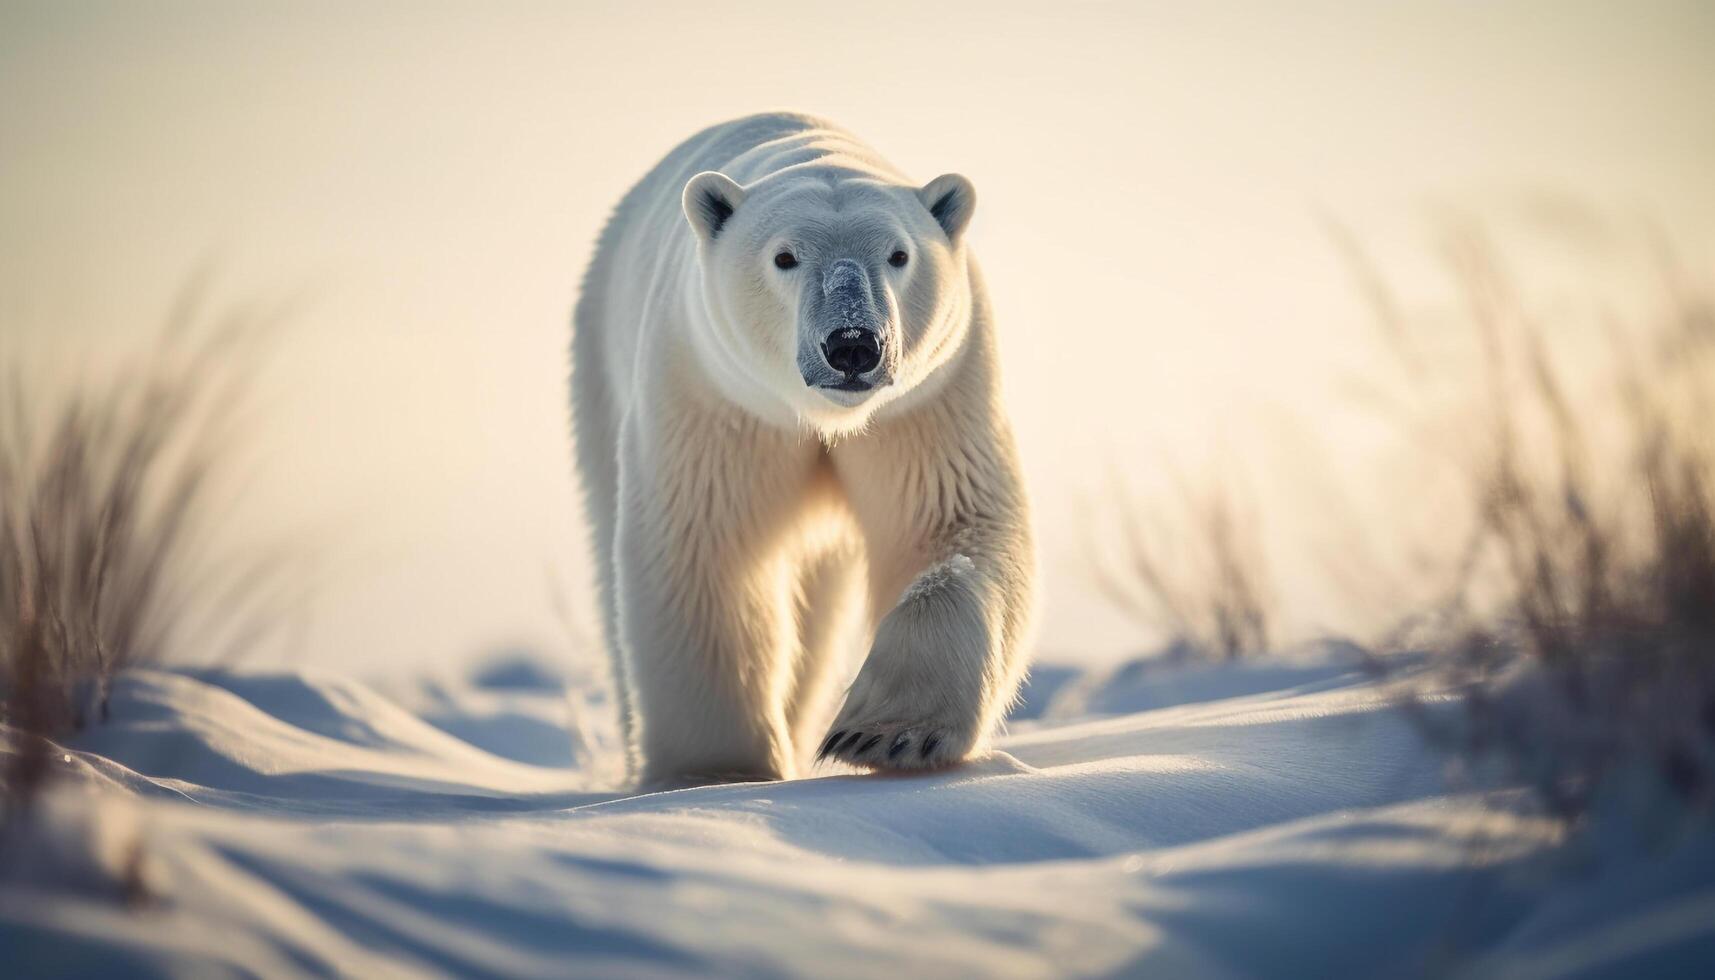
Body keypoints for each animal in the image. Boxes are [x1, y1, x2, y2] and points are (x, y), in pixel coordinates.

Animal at [572, 113, 1029, 789]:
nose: (853, 344)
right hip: (601, 368)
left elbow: (951, 525)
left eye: (899, 254)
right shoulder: (718, 397)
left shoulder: (928, 398)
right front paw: (717, 770)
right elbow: (709, 553)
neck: (823, 420)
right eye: (784, 256)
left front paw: (886, 734)